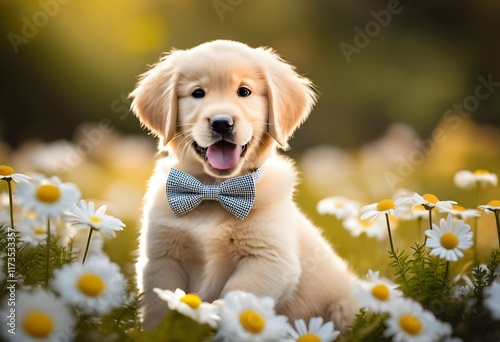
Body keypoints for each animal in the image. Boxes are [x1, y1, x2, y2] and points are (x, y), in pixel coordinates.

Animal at [132, 39, 360, 332]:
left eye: (244, 91)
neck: (214, 191)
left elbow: (237, 295)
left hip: (344, 307)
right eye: (198, 93)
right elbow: (160, 307)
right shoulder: (161, 258)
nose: (222, 123)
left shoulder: (268, 258)